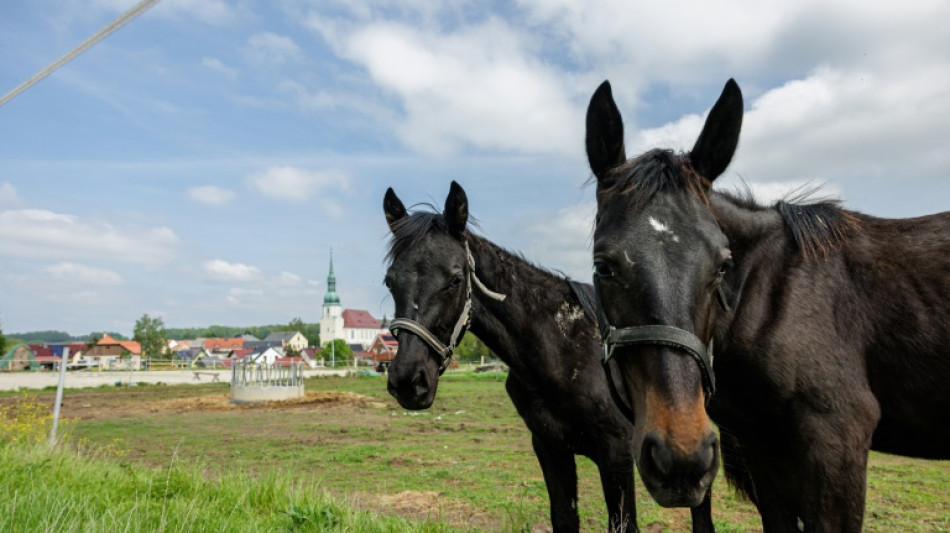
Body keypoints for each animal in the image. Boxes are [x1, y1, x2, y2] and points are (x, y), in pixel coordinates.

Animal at [384, 183, 716, 532]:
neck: (566, 350)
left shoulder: (617, 456)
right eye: (389, 281)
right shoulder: (550, 449)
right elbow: (564, 519)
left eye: (455, 279)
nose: (408, 380)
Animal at [588, 77, 950, 528]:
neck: (772, 297)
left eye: (724, 264)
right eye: (603, 266)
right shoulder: (764, 449)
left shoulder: (838, 441)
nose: (681, 458)